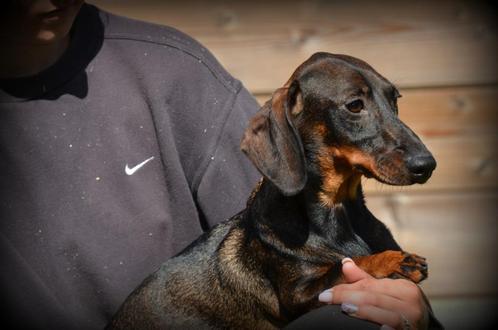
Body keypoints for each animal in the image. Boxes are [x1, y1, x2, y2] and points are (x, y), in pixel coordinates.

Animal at [106, 52, 436, 328]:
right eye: (355, 105)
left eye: (395, 99)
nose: (427, 165)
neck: (340, 213)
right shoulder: (299, 296)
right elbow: (345, 265)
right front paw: (392, 260)